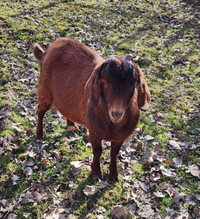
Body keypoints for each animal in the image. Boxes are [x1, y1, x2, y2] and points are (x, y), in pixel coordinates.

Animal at [34, 37, 150, 181]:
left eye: (133, 84)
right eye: (104, 82)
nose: (116, 113)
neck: (112, 126)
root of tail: (45, 52)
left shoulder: (120, 137)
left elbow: (114, 154)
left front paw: (114, 174)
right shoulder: (94, 132)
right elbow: (98, 151)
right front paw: (96, 172)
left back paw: (72, 126)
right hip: (44, 90)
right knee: (40, 111)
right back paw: (39, 134)